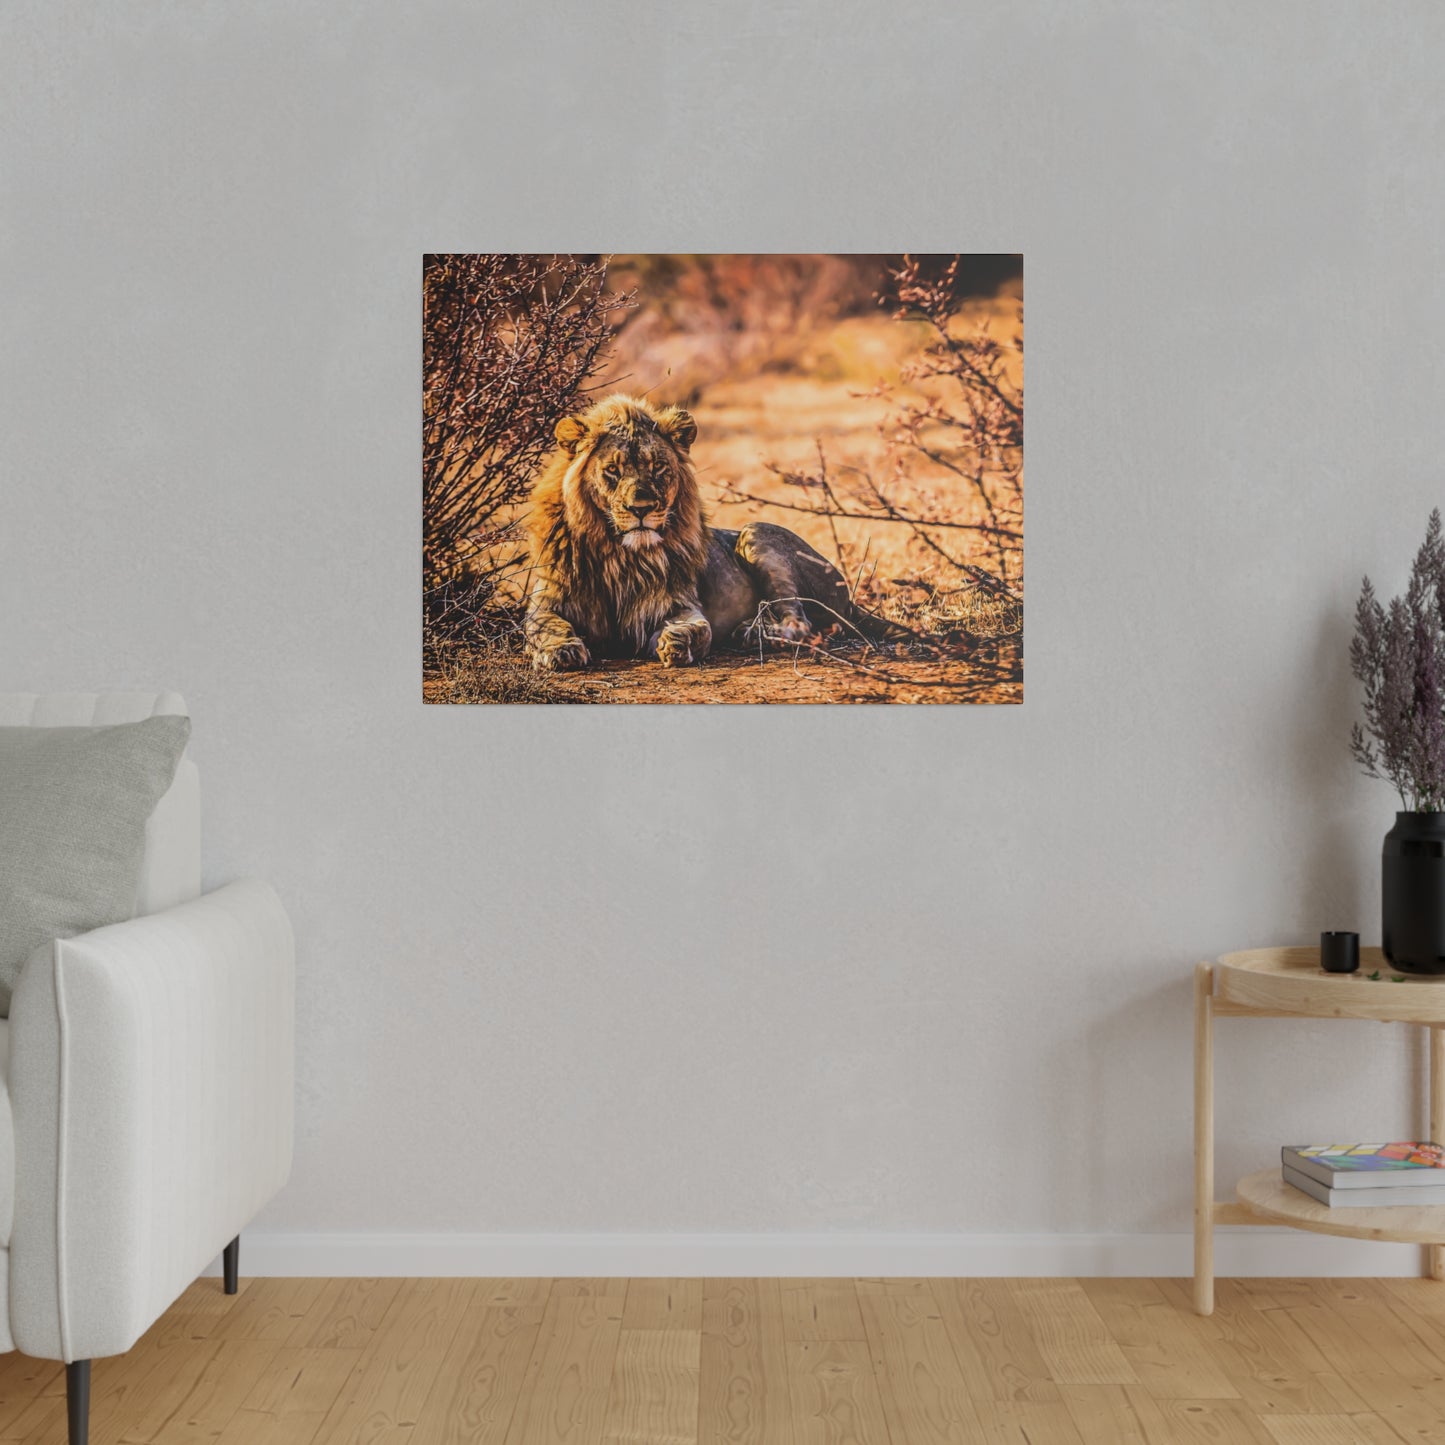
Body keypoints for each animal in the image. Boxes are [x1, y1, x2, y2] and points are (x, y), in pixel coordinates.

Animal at [525, 390, 895, 670]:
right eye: (613, 470)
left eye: (658, 467)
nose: (641, 509)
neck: (620, 554)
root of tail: (849, 597)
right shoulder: (546, 600)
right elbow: (543, 626)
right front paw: (562, 650)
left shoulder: (677, 604)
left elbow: (697, 628)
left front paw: (676, 643)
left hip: (755, 533)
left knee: (800, 623)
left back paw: (753, 633)